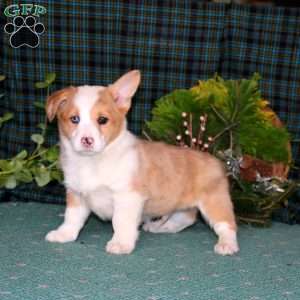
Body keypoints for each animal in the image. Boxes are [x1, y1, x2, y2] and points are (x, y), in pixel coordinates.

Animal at [44, 70, 239, 255]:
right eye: (74, 119)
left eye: (102, 120)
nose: (87, 140)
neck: (91, 162)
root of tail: (216, 161)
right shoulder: (76, 195)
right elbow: (71, 218)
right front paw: (64, 234)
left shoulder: (127, 197)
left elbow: (120, 222)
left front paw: (121, 243)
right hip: (181, 205)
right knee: (186, 218)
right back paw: (161, 227)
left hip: (214, 203)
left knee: (227, 225)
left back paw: (227, 245)